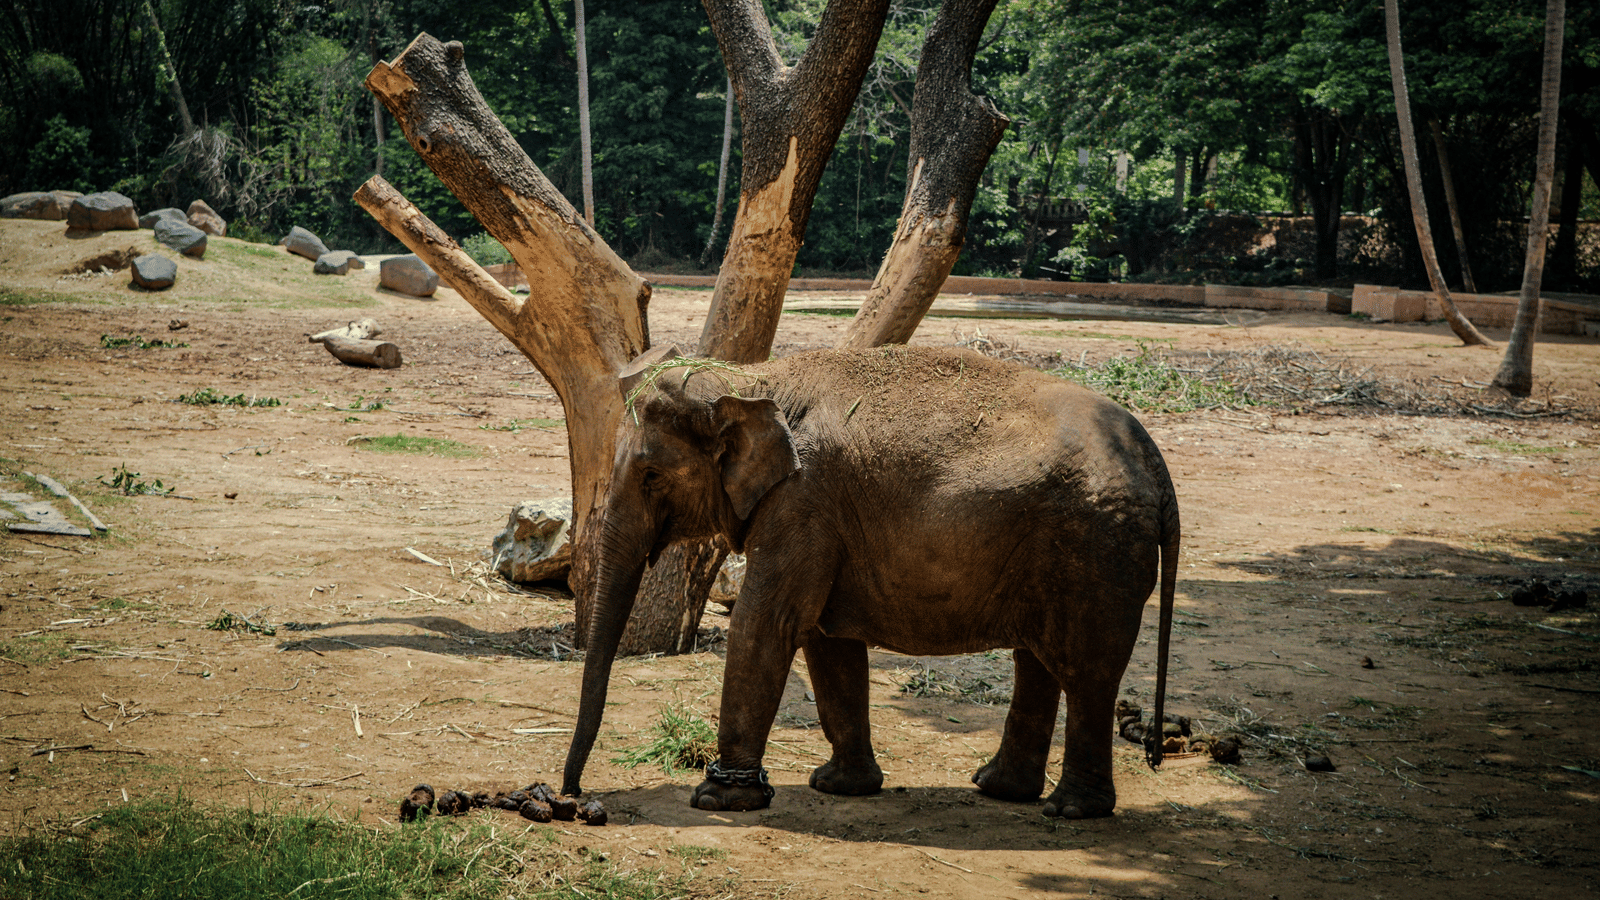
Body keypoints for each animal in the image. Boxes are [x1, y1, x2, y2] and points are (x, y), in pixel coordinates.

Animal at [561, 344, 1178, 819]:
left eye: (650, 475)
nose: (572, 796)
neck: (753, 380)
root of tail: (1155, 462)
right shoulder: (822, 520)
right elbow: (825, 640)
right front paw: (837, 786)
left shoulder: (803, 502)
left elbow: (769, 623)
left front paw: (718, 799)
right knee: (1039, 661)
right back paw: (998, 789)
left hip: (1096, 549)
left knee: (1087, 672)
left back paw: (1071, 809)